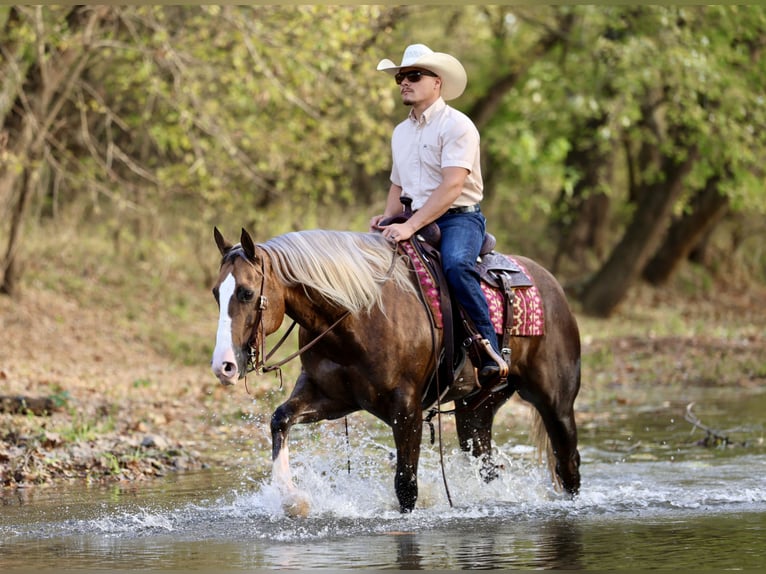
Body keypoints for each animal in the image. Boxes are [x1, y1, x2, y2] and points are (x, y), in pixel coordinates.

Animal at [211, 227, 581, 513]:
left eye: (246, 292)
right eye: (216, 293)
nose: (223, 366)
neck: (358, 315)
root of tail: (551, 285)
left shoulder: (407, 410)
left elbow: (406, 486)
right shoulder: (329, 397)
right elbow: (280, 419)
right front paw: (290, 498)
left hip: (556, 403)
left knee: (568, 463)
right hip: (476, 409)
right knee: (487, 464)